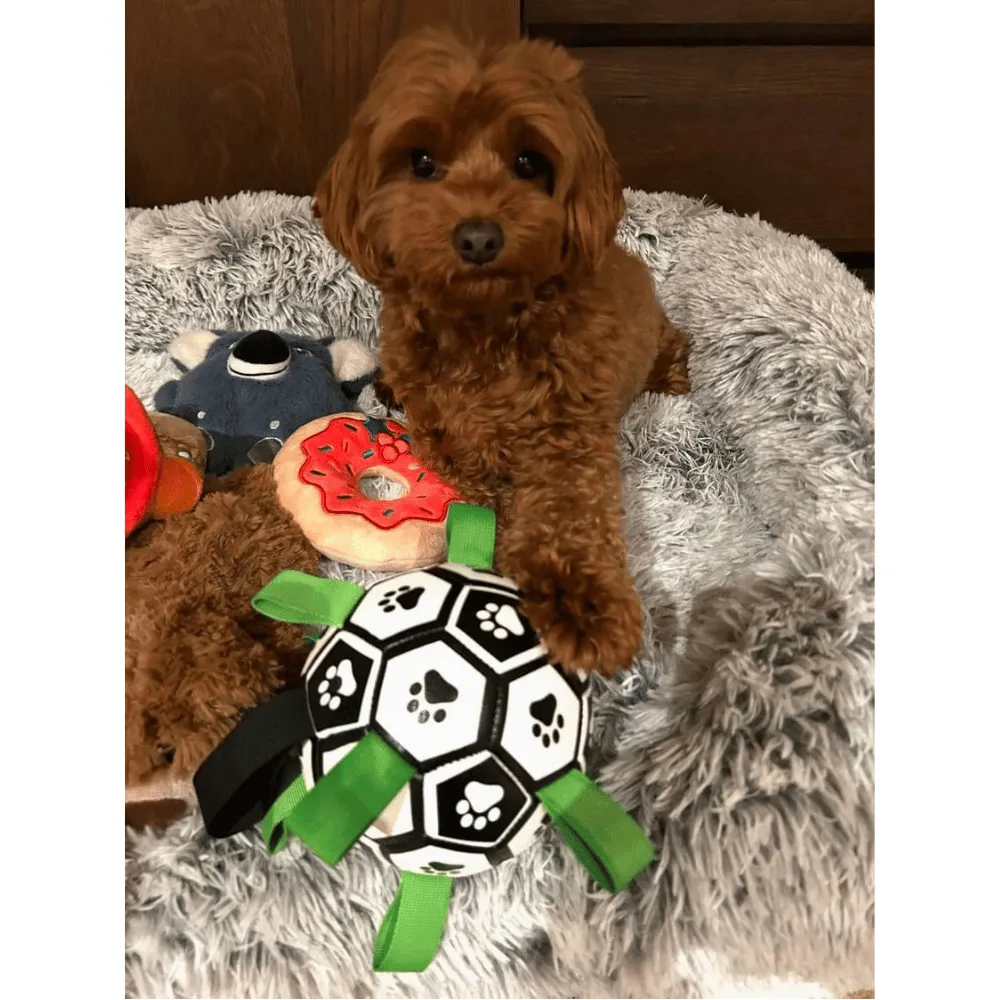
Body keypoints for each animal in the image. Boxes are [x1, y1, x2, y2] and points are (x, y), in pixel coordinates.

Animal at [316, 29, 692, 680]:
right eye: (421, 162)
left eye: (528, 163)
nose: (478, 237)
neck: (482, 327)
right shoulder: (441, 432)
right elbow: (484, 491)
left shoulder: (570, 432)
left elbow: (568, 513)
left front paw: (581, 606)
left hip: (659, 343)